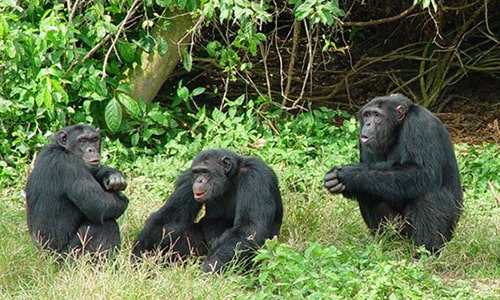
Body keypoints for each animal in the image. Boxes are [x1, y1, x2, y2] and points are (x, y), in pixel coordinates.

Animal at [24, 124, 129, 258]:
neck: (63, 149)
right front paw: (122, 199)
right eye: (82, 141)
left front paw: (113, 176)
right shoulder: (70, 166)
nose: (91, 149)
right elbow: (99, 204)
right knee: (106, 225)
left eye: (94, 140)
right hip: (68, 255)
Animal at [131, 149, 284, 274]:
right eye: (196, 172)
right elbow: (171, 217)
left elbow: (248, 227)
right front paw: (140, 255)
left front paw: (210, 268)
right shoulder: (187, 179)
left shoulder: (256, 177)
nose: (199, 181)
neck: (229, 180)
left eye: (205, 171)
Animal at [326, 94, 462, 253]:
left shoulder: (420, 125)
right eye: (367, 115)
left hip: (447, 234)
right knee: (367, 191)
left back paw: (426, 251)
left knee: (427, 195)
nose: (368, 124)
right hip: (400, 233)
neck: (397, 130)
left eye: (377, 115)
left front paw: (349, 174)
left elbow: (422, 172)